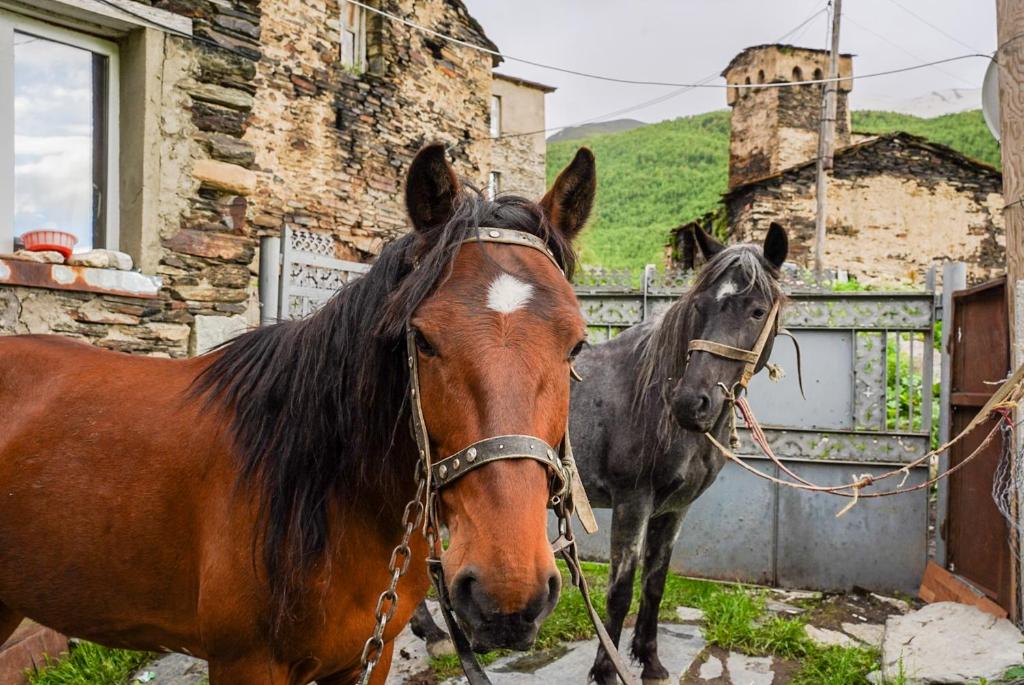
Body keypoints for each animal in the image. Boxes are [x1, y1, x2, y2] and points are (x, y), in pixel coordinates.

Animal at [0, 141, 593, 679]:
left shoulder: (366, 658)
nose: (508, 592)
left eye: (576, 347)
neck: (327, 493)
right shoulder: (246, 663)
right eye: (422, 339)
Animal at [411, 224, 786, 683]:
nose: (691, 402)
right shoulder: (632, 503)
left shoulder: (674, 509)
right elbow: (620, 591)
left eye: (757, 311)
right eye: (699, 306)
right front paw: (607, 669)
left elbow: (655, 583)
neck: (654, 401)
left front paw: (651, 662)